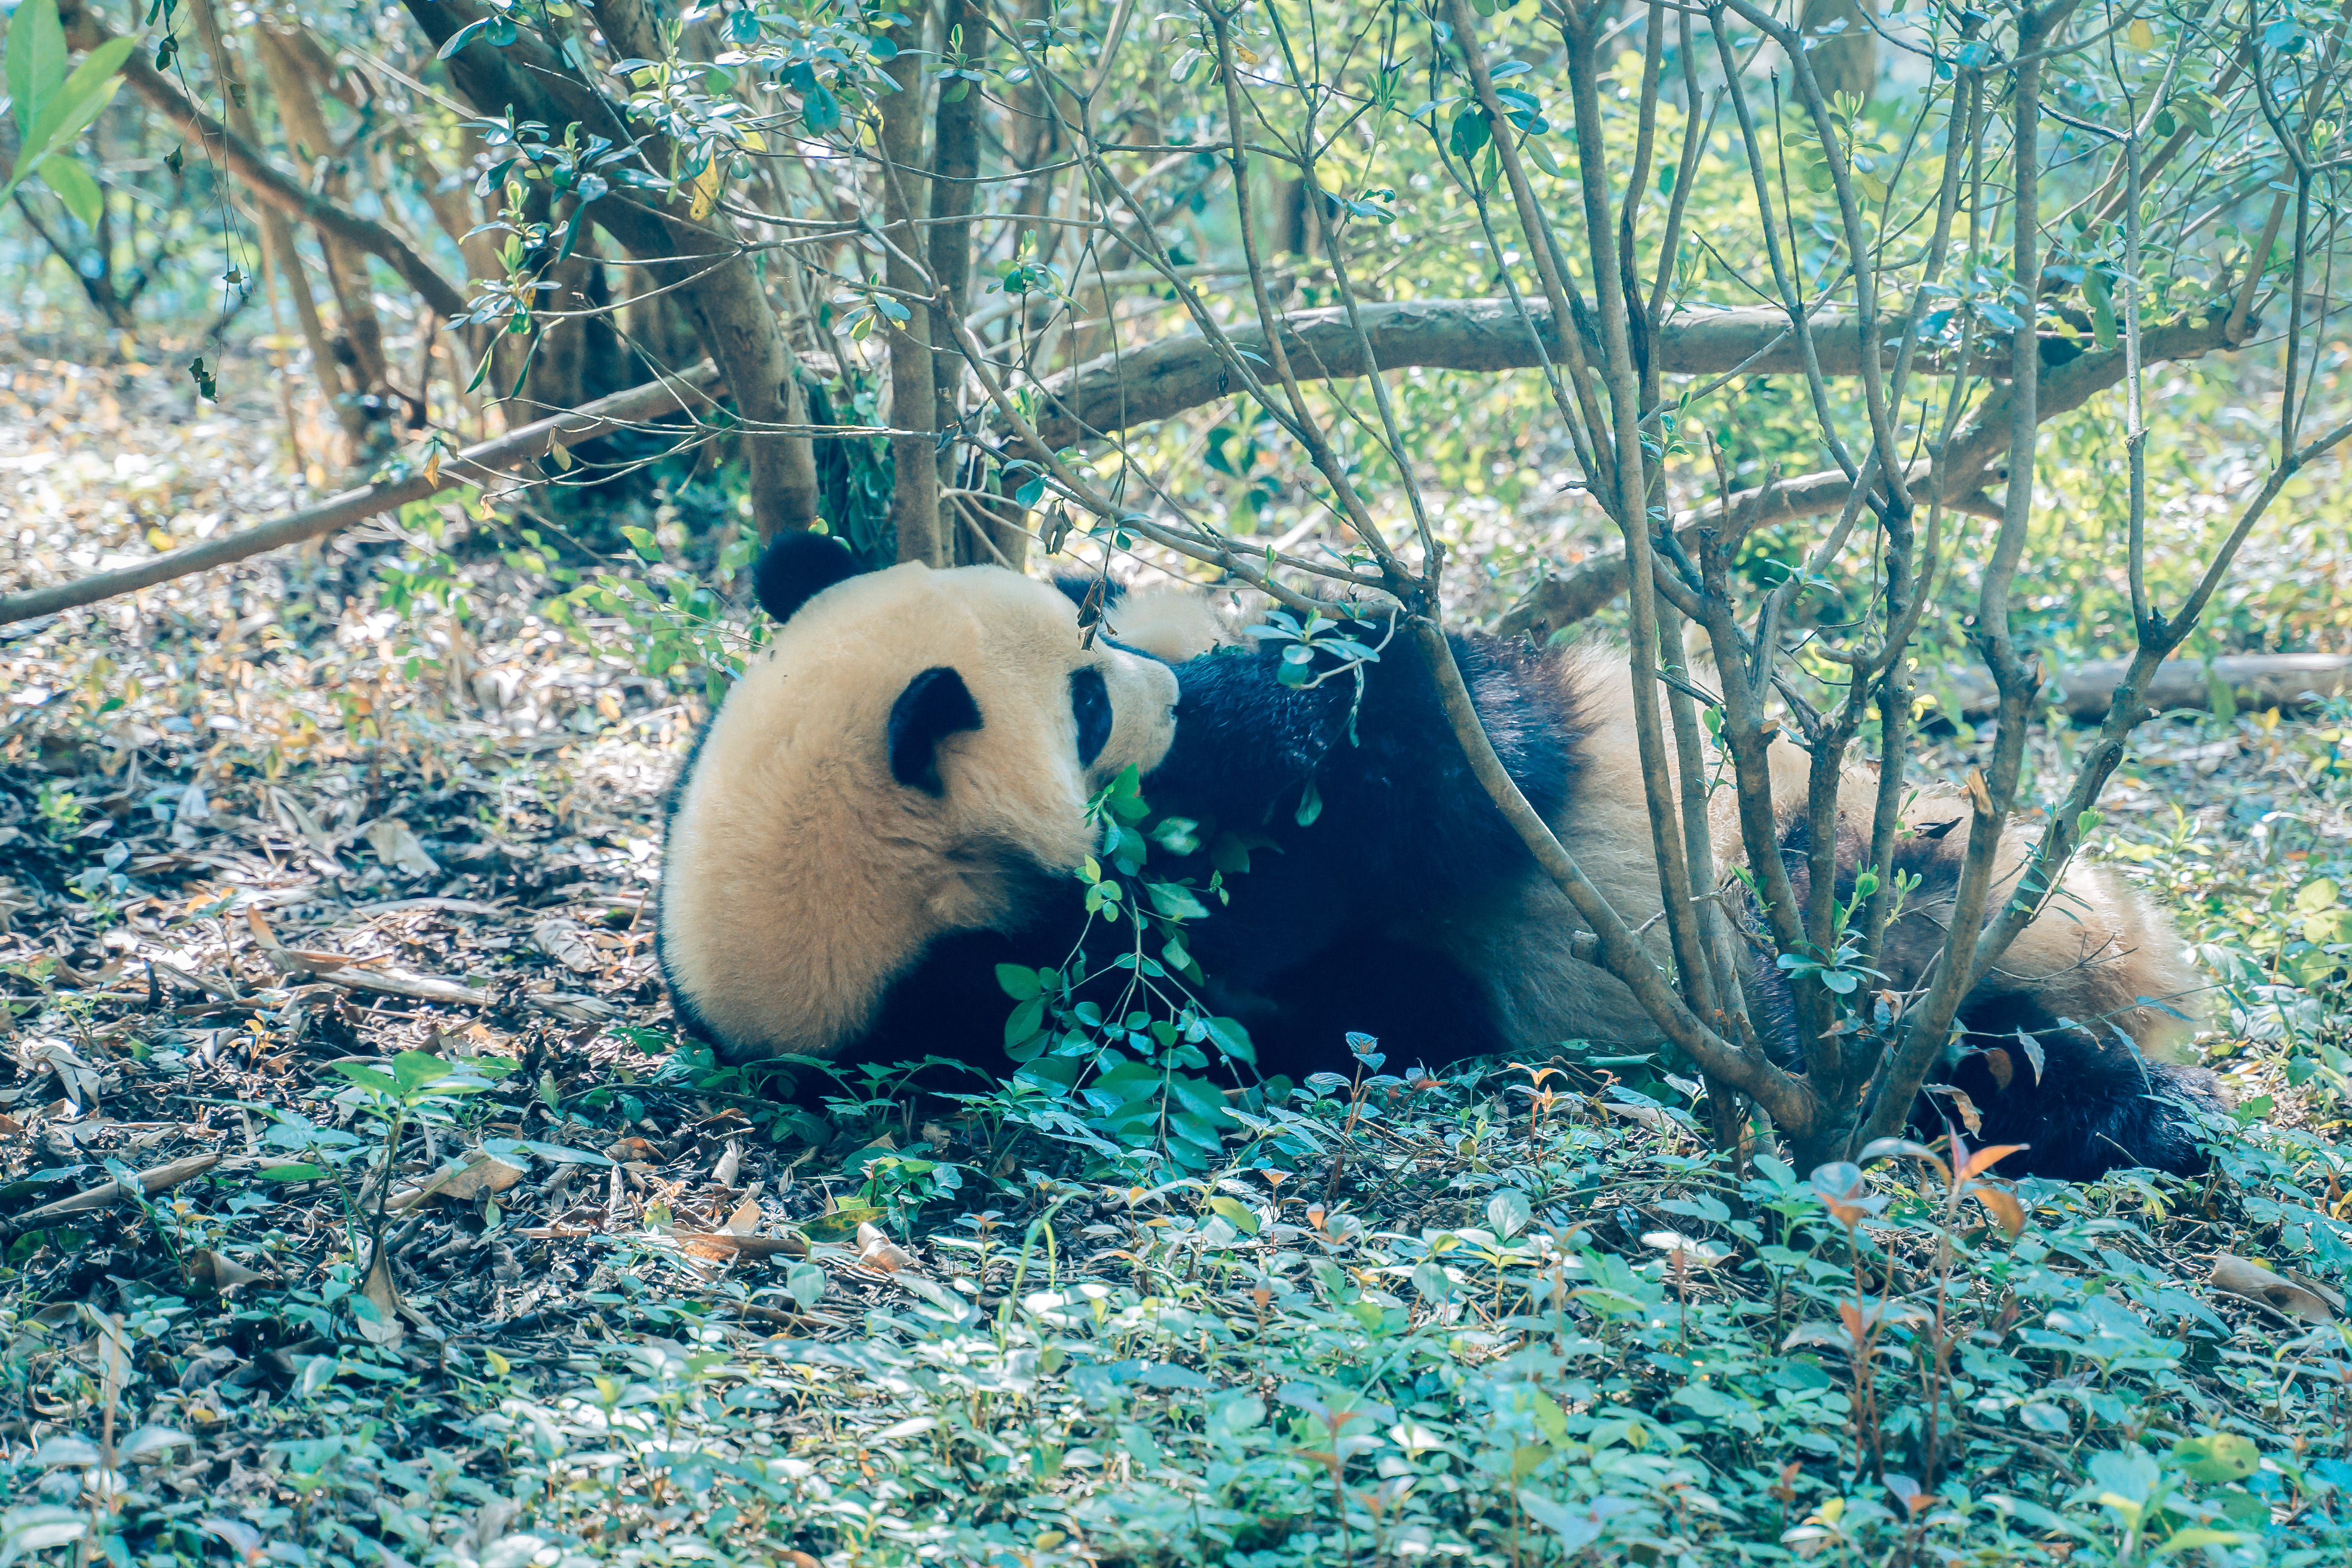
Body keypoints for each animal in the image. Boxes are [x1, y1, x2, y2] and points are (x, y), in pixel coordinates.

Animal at [654, 534, 2210, 1184]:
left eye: (1082, 611)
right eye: (1084, 704)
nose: (1164, 687)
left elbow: (1444, 721)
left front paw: (1295, 683)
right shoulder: (1042, 996)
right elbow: (1334, 942)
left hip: (1822, 844)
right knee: (1963, 1060)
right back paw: (2090, 1100)